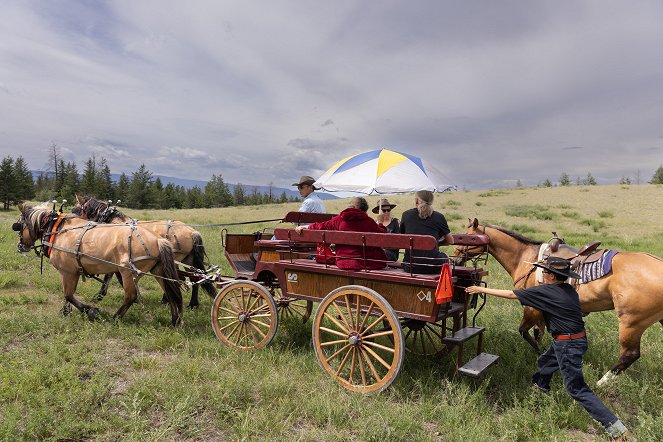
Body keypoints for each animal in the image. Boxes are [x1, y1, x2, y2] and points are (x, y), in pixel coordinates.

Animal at [13, 204, 184, 324]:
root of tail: (158, 239)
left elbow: (68, 295)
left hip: (128, 272)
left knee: (131, 297)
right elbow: (69, 295)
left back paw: (115, 318)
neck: (57, 230)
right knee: (170, 293)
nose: (20, 246)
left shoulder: (67, 272)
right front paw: (65, 311)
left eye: (19, 225)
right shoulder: (71, 272)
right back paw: (175, 320)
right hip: (158, 271)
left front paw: (90, 311)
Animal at [74, 195, 217, 310]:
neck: (115, 222)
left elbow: (111, 276)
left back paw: (172, 301)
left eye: (76, 209)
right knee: (195, 279)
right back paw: (192, 304)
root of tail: (192, 232)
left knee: (179, 278)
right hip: (188, 259)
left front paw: (101, 295)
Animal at [456, 219, 663, 386]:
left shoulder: (531, 308)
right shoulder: (540, 311)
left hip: (631, 322)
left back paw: (601, 383)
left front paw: (541, 354)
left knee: (629, 354)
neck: (526, 258)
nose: (456, 258)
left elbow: (525, 332)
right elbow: (539, 333)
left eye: (468, 238)